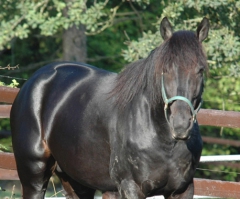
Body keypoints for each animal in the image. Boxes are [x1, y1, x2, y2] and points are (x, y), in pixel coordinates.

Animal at [10, 17, 209, 199]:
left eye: (200, 70)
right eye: (165, 70)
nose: (180, 125)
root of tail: (34, 81)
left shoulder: (182, 190)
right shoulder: (131, 187)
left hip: (77, 181)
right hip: (34, 178)